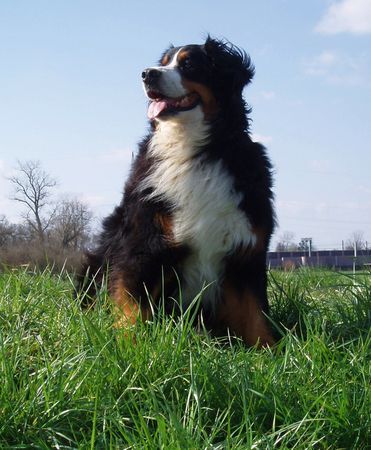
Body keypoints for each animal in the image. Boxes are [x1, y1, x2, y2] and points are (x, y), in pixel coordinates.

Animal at [78, 37, 276, 348]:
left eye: (189, 64)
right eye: (163, 62)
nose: (147, 74)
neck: (194, 151)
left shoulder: (246, 252)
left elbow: (255, 313)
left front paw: (273, 351)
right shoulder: (143, 243)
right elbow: (132, 304)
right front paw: (128, 344)